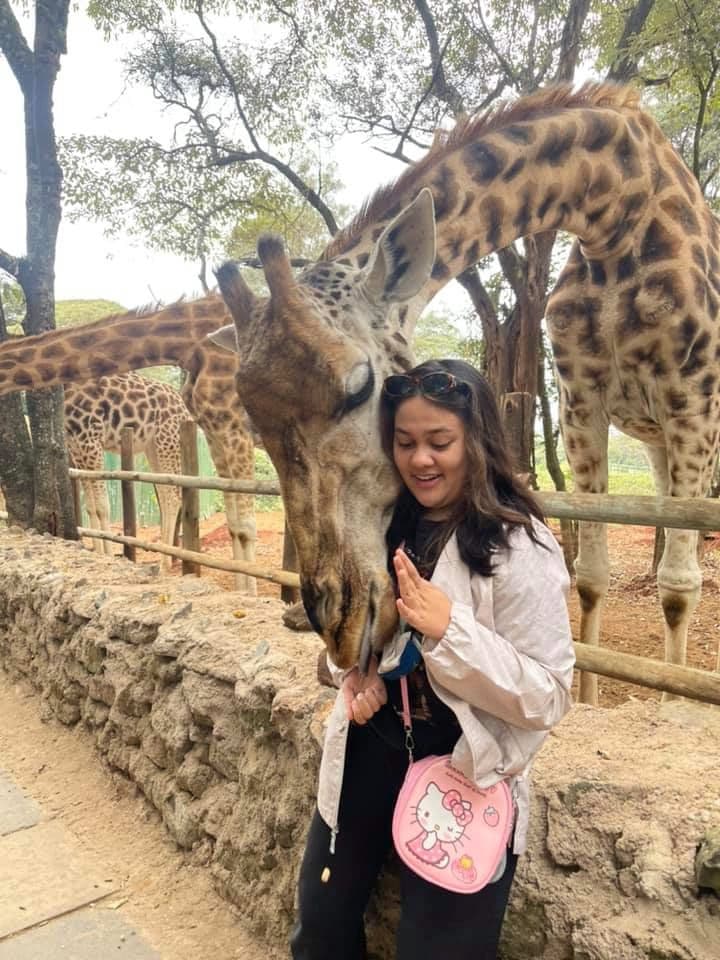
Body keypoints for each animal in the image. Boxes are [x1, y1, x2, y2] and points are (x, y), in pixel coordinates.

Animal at [64, 372, 191, 569]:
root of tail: (185, 409)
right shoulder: (75, 444)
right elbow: (91, 507)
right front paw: (99, 552)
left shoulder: (90, 437)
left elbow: (102, 506)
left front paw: (107, 554)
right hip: (152, 447)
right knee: (164, 494)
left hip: (167, 442)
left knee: (172, 497)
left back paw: (164, 564)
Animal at [212, 82, 720, 702]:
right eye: (253, 425)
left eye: (359, 389)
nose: (340, 628)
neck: (618, 215)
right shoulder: (582, 400)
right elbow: (592, 575)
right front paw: (586, 695)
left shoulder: (691, 398)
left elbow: (678, 584)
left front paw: (675, 699)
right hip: (652, 440)